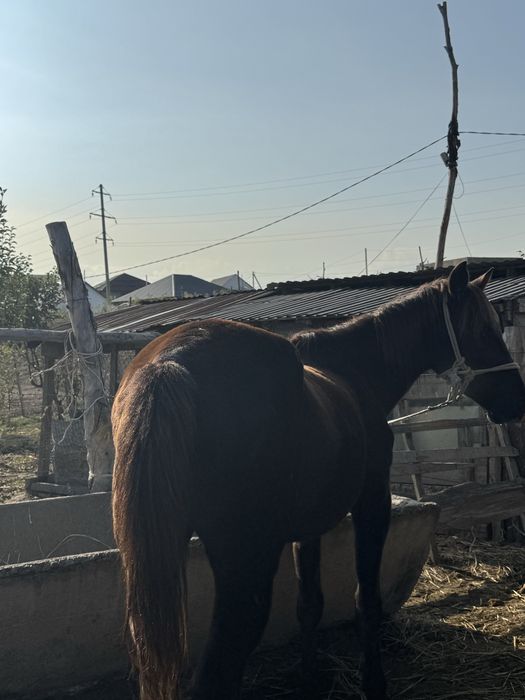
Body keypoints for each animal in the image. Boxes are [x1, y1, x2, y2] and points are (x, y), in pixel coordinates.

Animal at [111, 262, 525, 700]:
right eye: (483, 330)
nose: (517, 399)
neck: (354, 373)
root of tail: (170, 362)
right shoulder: (372, 504)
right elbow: (366, 599)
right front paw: (373, 683)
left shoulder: (306, 530)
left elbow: (309, 604)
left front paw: (309, 678)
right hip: (247, 562)